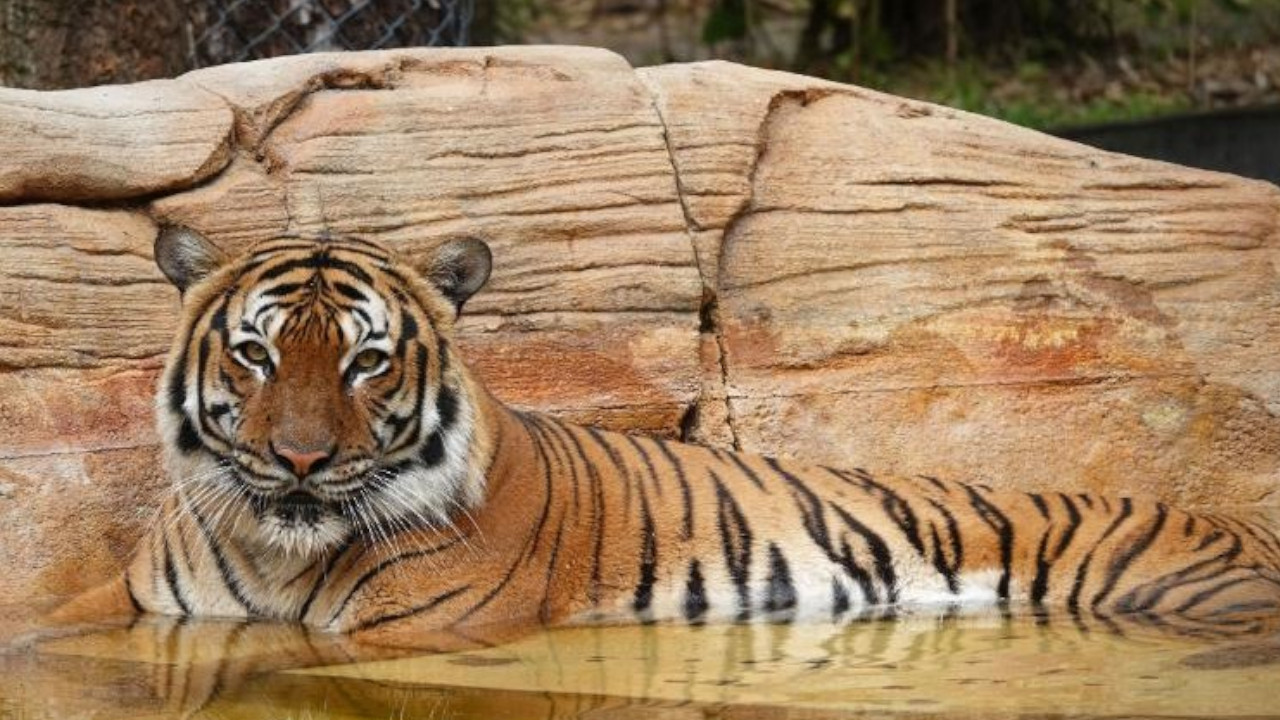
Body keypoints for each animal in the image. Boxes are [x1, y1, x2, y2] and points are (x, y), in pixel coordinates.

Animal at [52, 225, 1280, 647]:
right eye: (256, 356)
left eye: (366, 361)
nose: (301, 460)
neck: (275, 547)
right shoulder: (136, 604)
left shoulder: (415, 631)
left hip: (1188, 594)